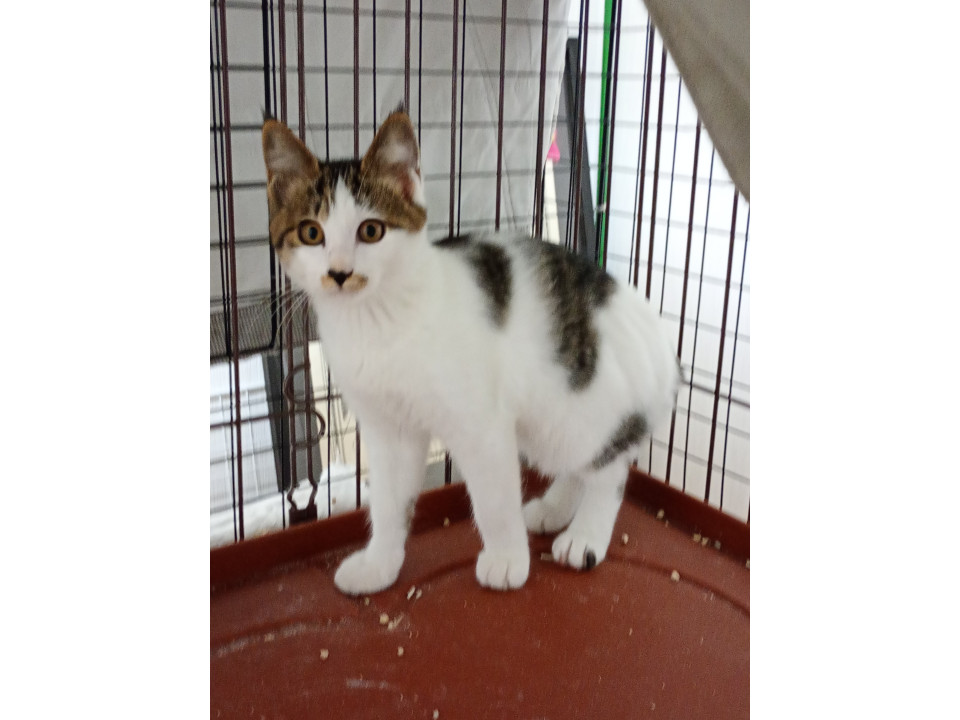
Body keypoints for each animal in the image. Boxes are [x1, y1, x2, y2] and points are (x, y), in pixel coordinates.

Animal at [261, 108, 680, 594]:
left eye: (371, 230)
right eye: (311, 233)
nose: (340, 273)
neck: (380, 319)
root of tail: (658, 342)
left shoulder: (481, 423)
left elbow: (495, 500)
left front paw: (506, 560)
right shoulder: (388, 428)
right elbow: (388, 502)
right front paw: (379, 565)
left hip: (579, 408)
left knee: (610, 465)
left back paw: (585, 536)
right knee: (582, 465)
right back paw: (552, 509)